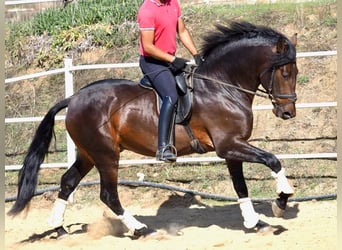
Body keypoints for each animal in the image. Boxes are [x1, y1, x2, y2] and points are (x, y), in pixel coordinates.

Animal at [7, 20, 296, 237]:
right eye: (285, 73)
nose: (288, 113)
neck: (221, 86)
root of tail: (74, 98)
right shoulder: (229, 145)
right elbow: (272, 159)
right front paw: (281, 200)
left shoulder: (231, 148)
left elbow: (241, 187)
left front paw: (255, 222)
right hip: (106, 155)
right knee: (108, 195)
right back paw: (140, 228)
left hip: (89, 153)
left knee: (67, 182)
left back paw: (59, 228)